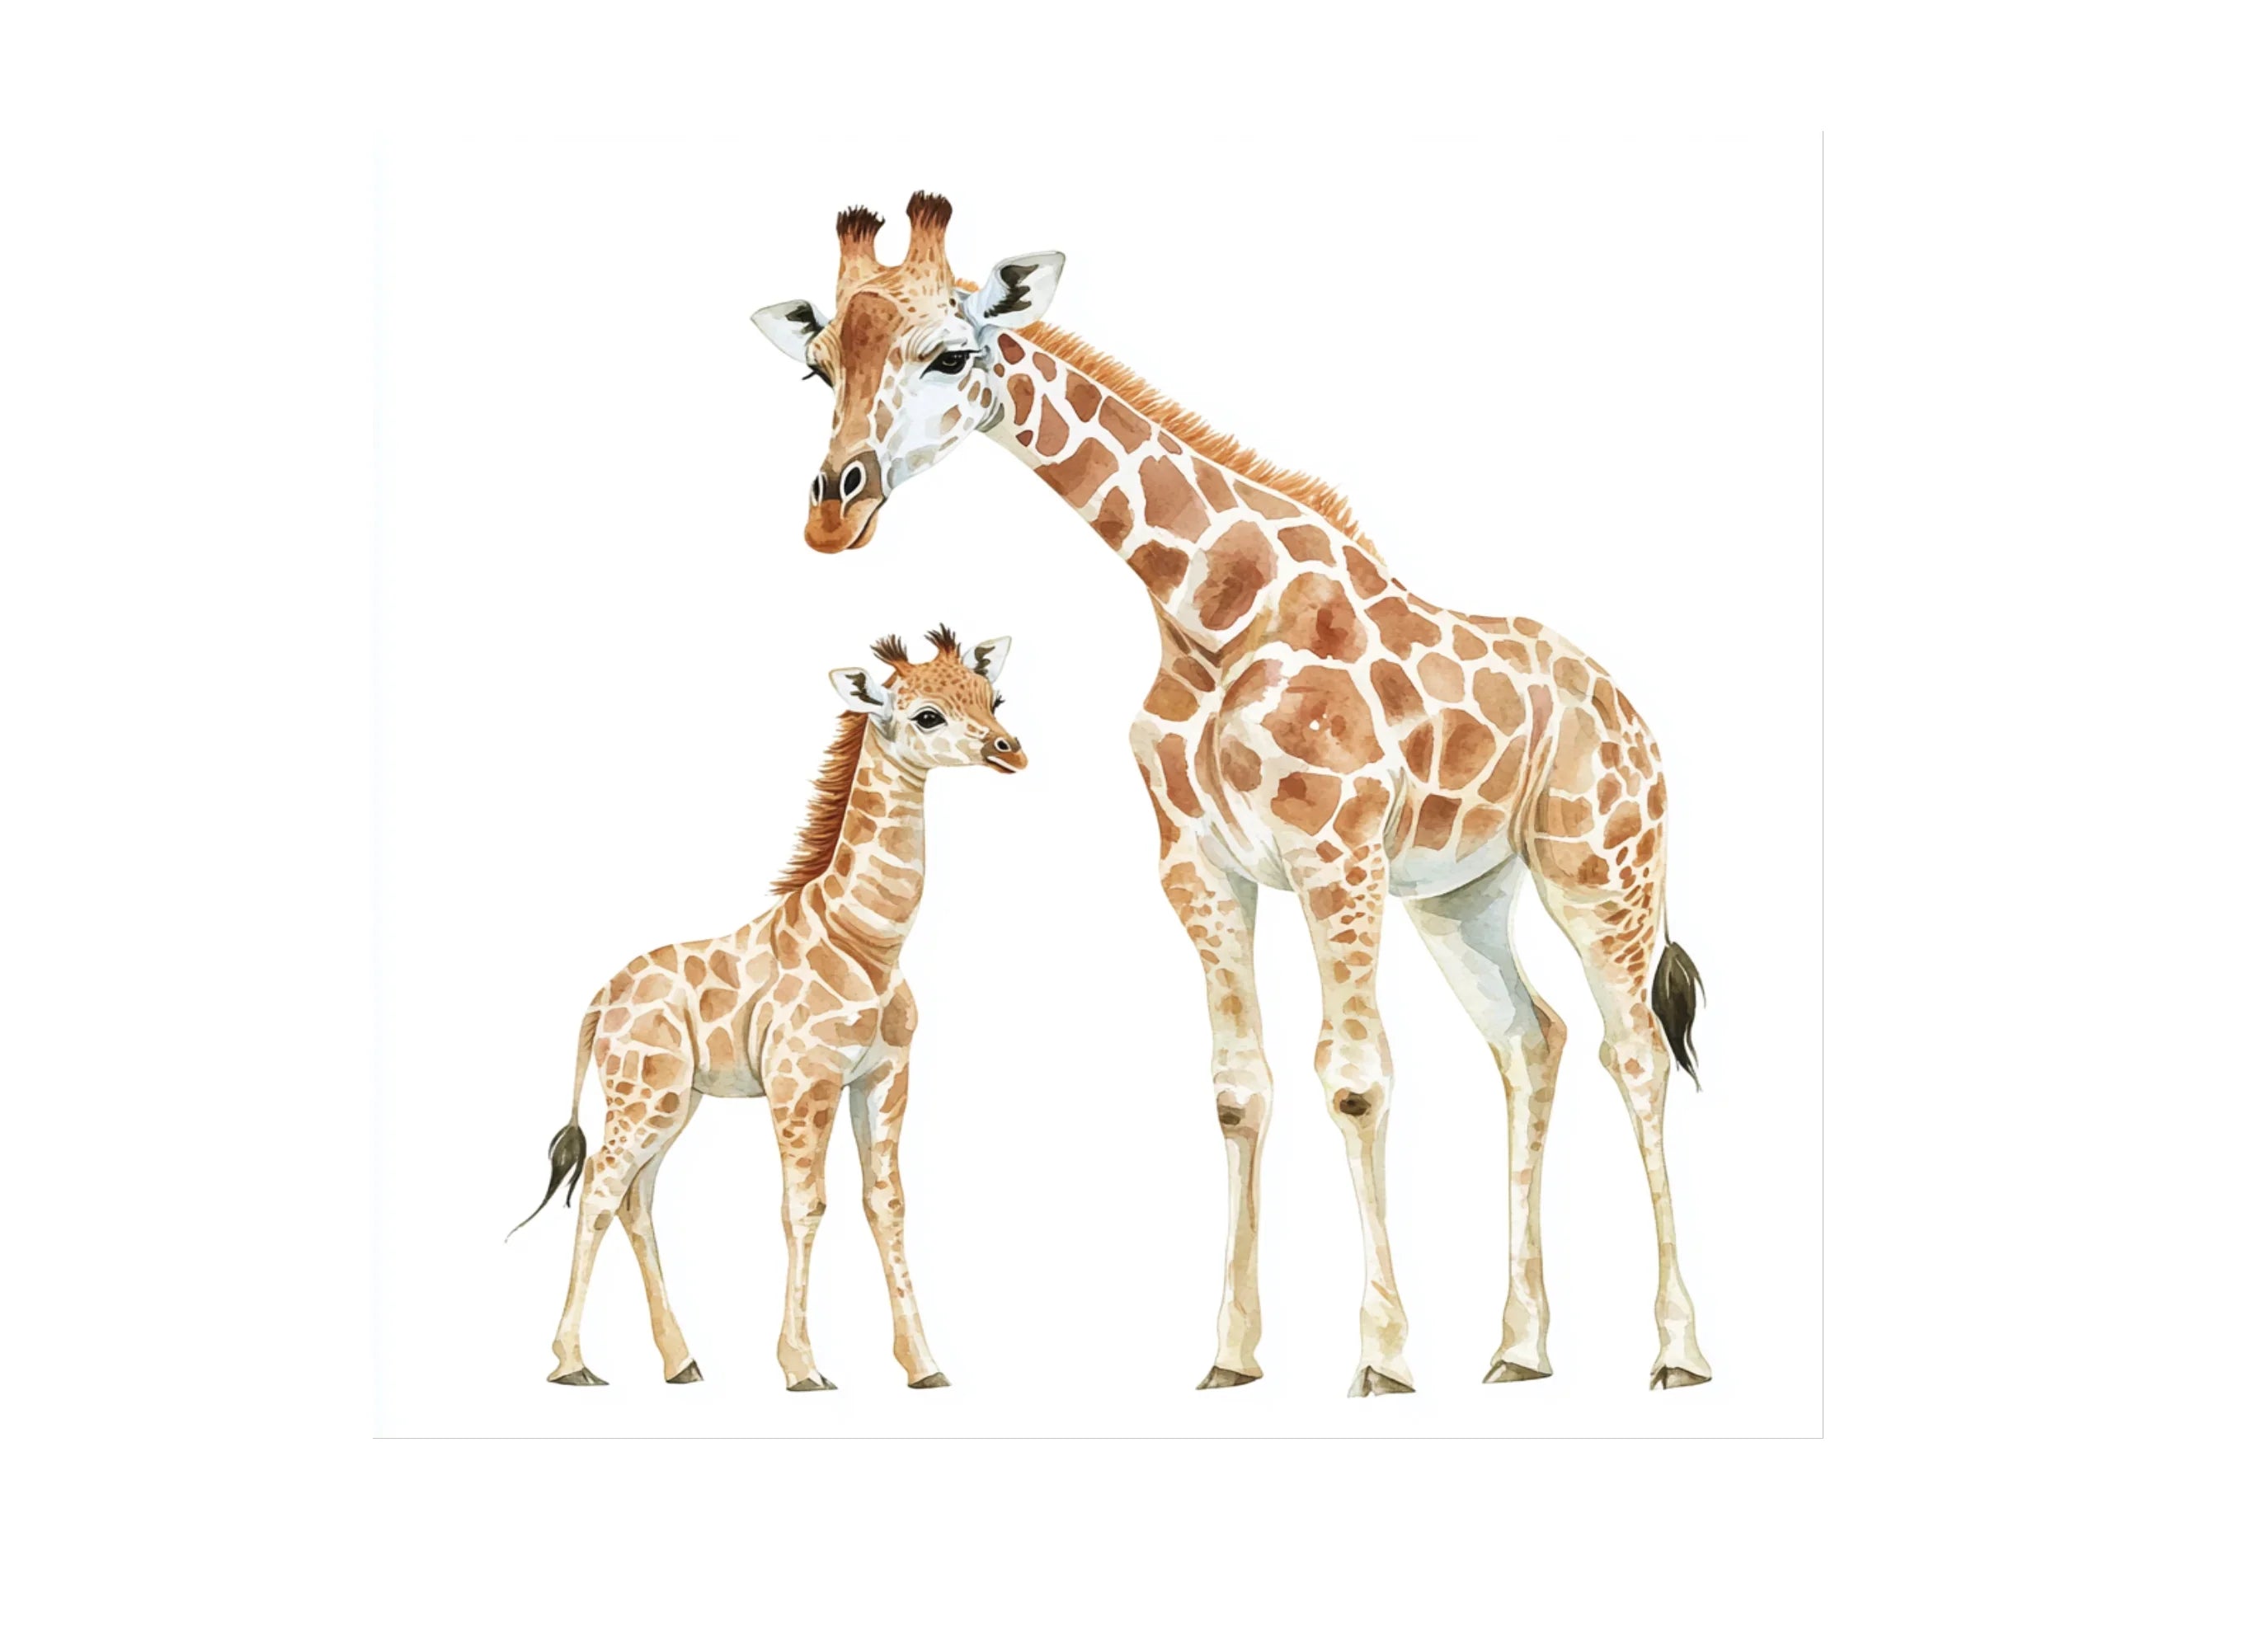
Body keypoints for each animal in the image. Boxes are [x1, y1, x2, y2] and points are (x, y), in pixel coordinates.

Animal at [514, 626, 1024, 1390]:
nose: (1010, 749)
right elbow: (805, 1205)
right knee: (603, 1188)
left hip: (676, 1099)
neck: (870, 939)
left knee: (637, 1197)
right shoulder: (801, 1080)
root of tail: (600, 1000)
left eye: (994, 699)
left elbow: (887, 1205)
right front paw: (803, 1366)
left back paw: (682, 1362)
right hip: (646, 1095)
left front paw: (924, 1364)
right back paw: (573, 1363)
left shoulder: (885, 1077)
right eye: (927, 715)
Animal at [752, 195, 1713, 1396]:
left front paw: (1381, 1358)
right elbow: (1236, 1088)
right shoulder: (1198, 865)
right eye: (818, 367)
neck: (1208, 607)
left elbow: (1353, 1079)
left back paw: (1677, 1350)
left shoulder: (1332, 852)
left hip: (1599, 866)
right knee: (1528, 1039)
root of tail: (1632, 714)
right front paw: (1231, 1354)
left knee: (1632, 1050)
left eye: (952, 353)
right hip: (1463, 893)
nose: (833, 512)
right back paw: (1519, 1347)